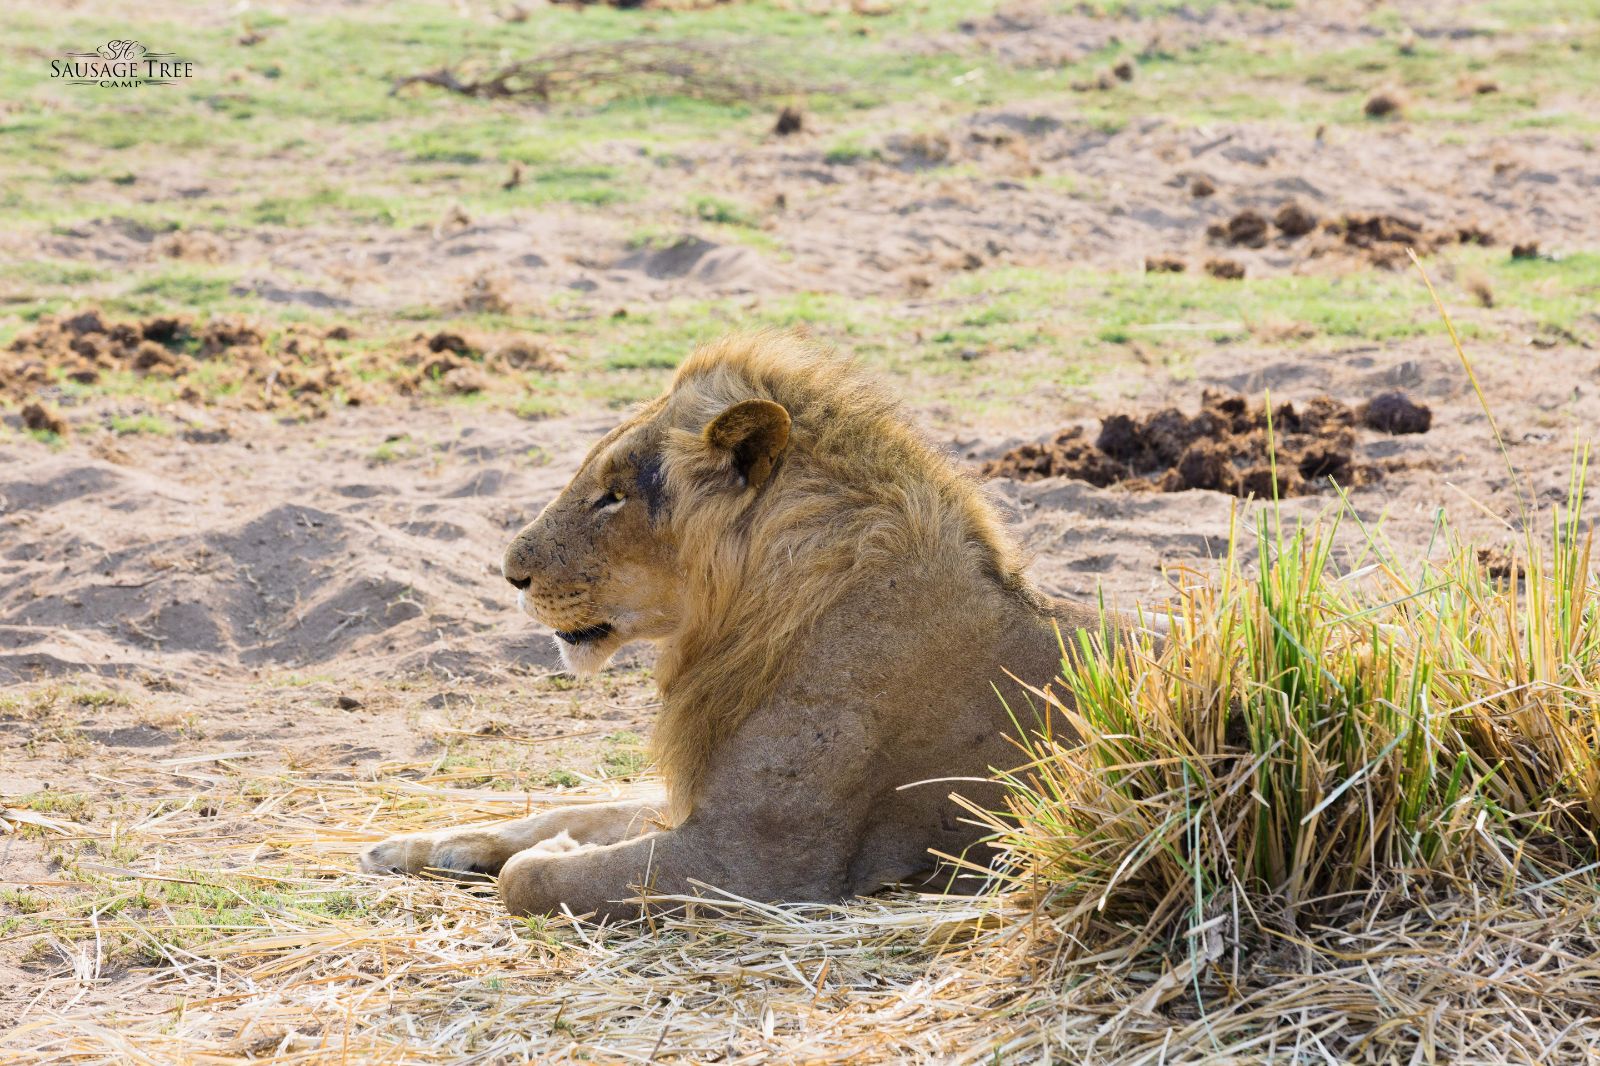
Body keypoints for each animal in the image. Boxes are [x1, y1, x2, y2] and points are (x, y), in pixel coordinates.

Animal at [361, 331, 1136, 920]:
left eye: (613, 496)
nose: (509, 573)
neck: (745, 621)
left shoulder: (756, 864)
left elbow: (532, 877)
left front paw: (549, 856)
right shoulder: (700, 804)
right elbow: (566, 810)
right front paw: (423, 845)